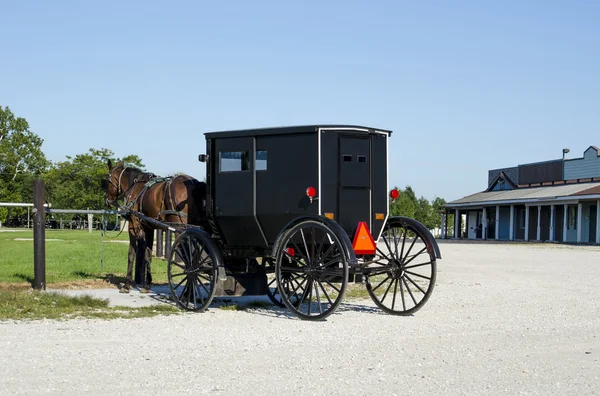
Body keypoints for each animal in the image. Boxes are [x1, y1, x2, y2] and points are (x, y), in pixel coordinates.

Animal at [103, 159, 206, 292]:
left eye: (108, 180)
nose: (107, 201)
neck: (135, 187)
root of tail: (194, 183)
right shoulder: (149, 228)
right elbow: (148, 255)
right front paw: (147, 284)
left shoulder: (133, 225)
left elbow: (131, 254)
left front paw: (126, 285)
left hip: (181, 229)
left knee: (189, 257)